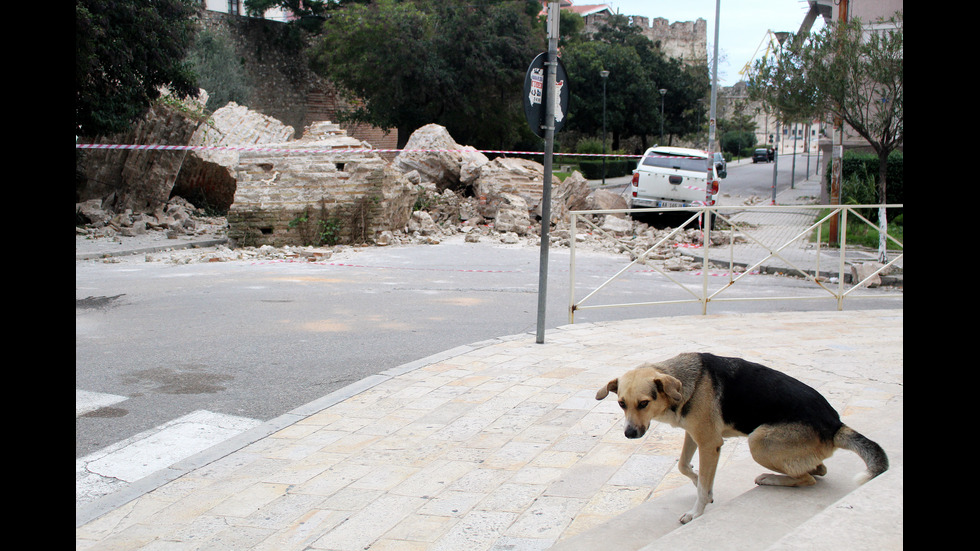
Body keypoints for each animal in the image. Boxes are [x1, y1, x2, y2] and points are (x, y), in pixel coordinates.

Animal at [592, 354, 892, 528]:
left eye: (644, 403)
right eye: (621, 404)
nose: (629, 434)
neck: (687, 383)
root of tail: (835, 424)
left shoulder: (709, 443)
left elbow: (700, 485)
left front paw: (696, 512)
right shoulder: (695, 436)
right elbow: (684, 467)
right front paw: (704, 486)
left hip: (758, 442)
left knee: (809, 478)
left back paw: (771, 479)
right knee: (818, 469)